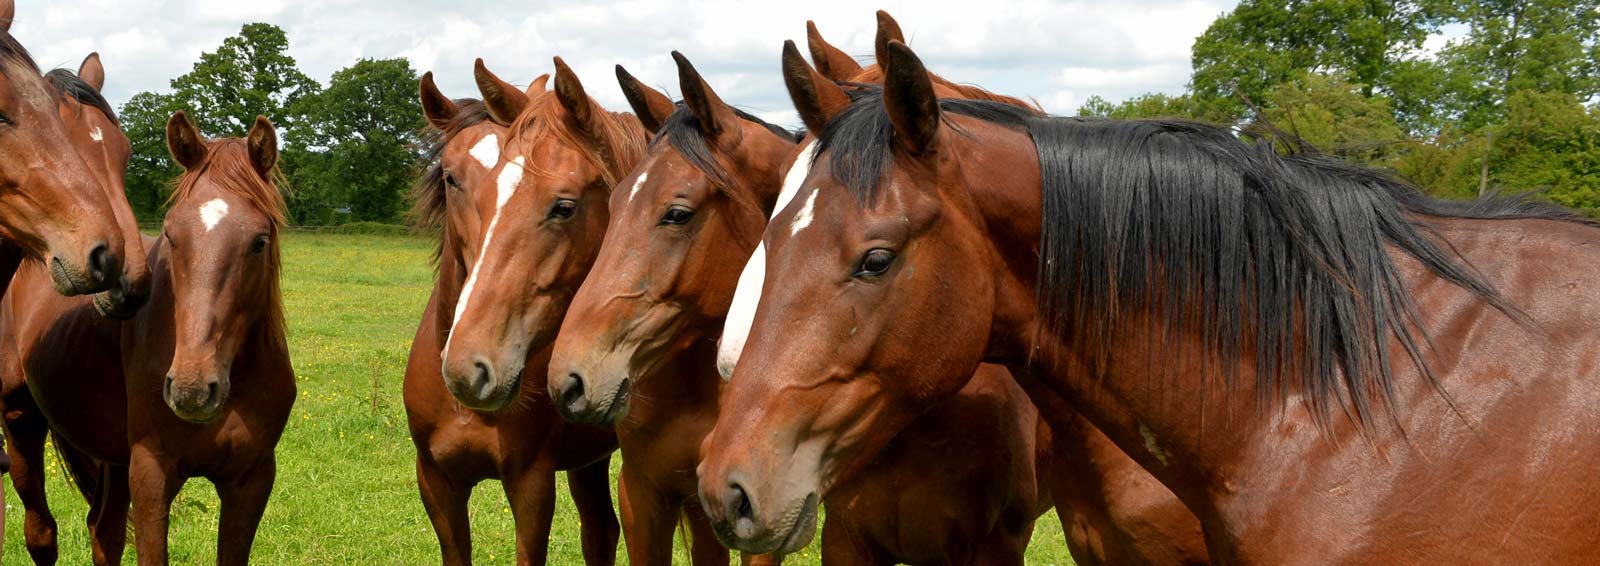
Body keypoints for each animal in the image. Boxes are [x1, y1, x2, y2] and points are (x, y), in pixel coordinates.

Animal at [1, 112, 296, 562]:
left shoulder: (251, 479)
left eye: (259, 242)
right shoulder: (151, 475)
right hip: (20, 421)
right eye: (172, 235)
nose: (192, 389)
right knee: (41, 534)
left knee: (102, 531)